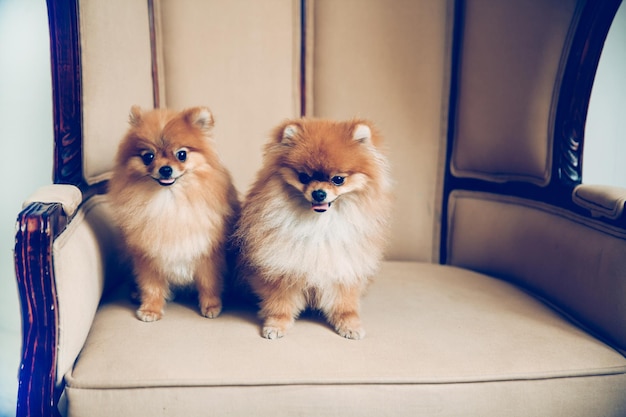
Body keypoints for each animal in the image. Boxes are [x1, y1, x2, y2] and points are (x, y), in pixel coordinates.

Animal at [108, 105, 239, 320]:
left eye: (181, 155)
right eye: (148, 156)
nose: (166, 169)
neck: (169, 202)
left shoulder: (207, 252)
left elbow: (209, 282)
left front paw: (211, 305)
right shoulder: (147, 255)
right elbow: (151, 286)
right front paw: (150, 309)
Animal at [234, 117, 390, 338]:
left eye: (338, 179)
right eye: (304, 177)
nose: (319, 193)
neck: (320, 224)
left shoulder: (345, 265)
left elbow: (345, 302)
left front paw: (350, 323)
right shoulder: (281, 268)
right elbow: (279, 302)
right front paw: (276, 324)